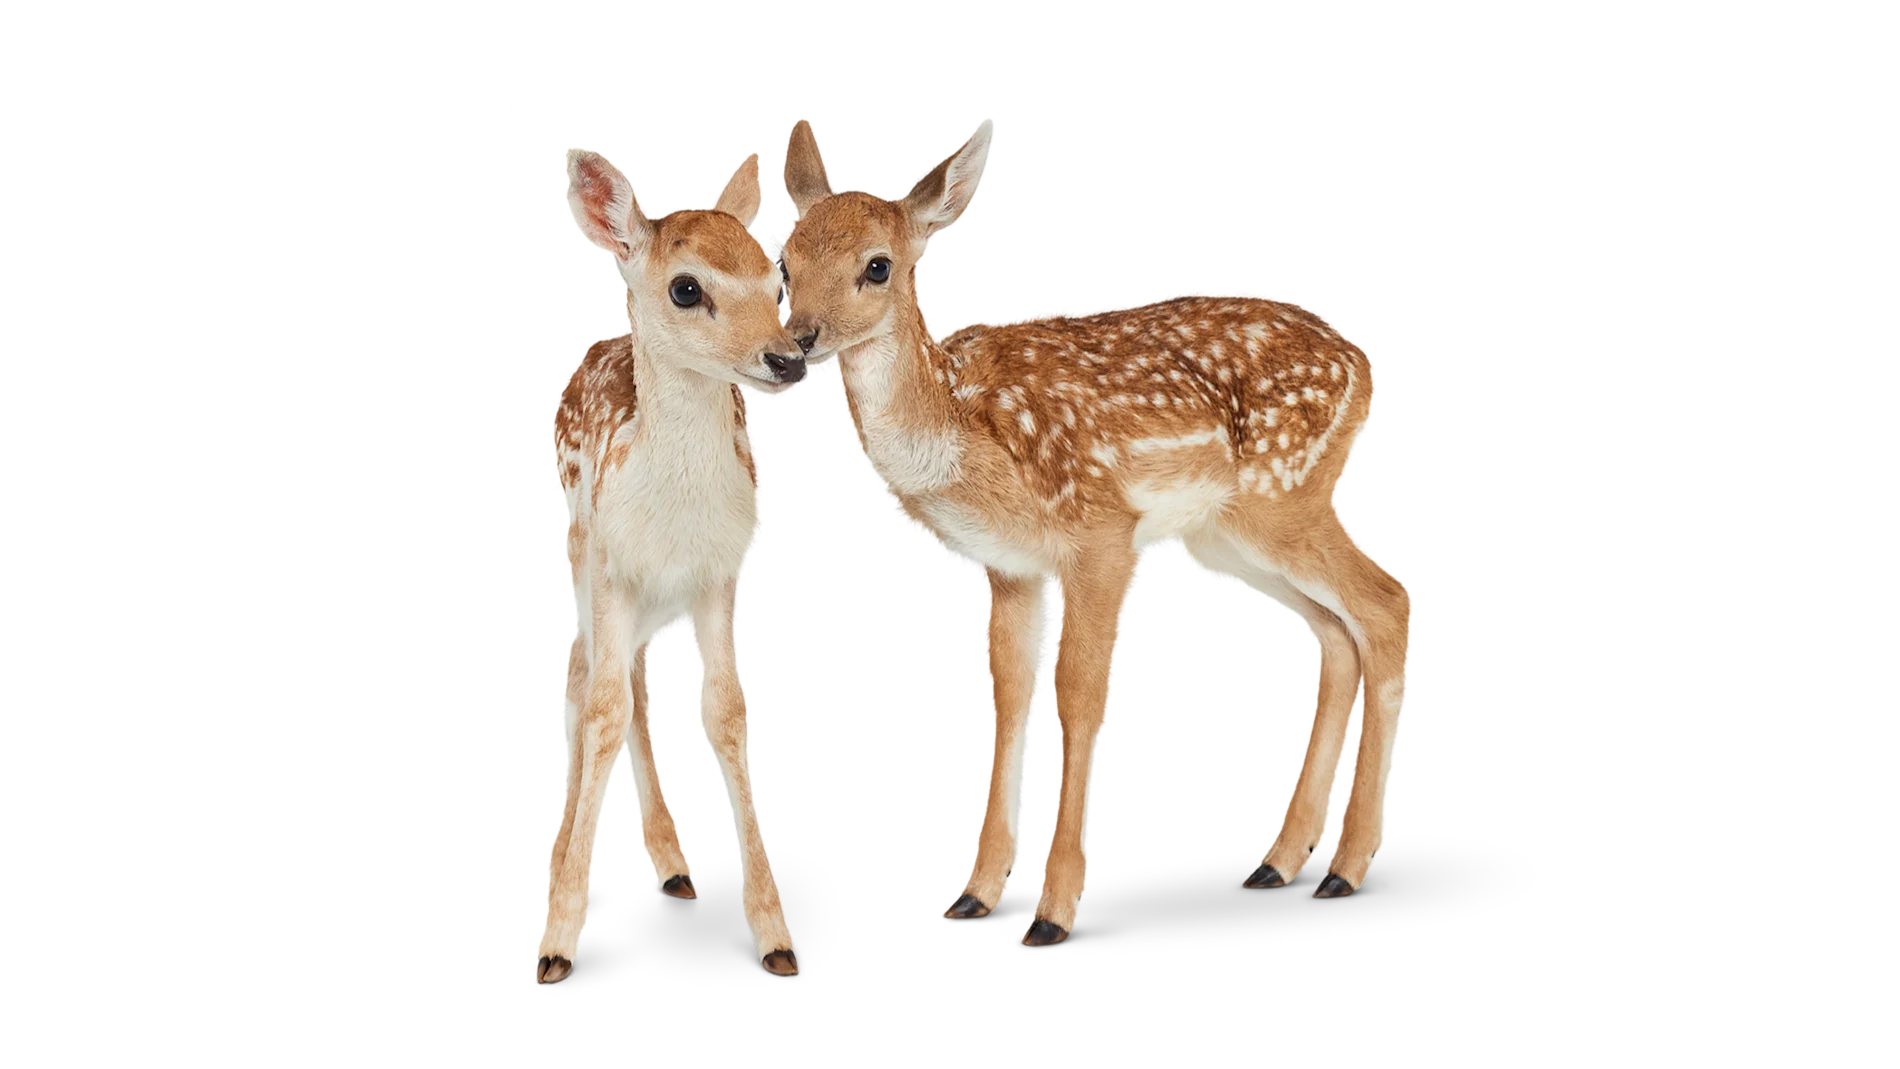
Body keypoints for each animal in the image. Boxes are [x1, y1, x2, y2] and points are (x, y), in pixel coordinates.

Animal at [540, 146, 806, 982]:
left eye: (776, 278)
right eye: (687, 287)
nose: (787, 357)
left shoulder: (723, 573)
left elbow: (723, 713)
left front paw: (775, 931)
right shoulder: (612, 564)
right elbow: (600, 708)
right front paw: (557, 937)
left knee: (625, 674)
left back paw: (672, 861)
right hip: (581, 549)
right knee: (589, 673)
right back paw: (575, 856)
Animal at [778, 117, 1412, 947]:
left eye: (877, 267)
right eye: (782, 256)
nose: (797, 339)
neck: (966, 428)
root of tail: (1363, 365)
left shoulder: (1103, 533)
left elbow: (1080, 694)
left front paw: (1052, 910)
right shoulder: (1011, 564)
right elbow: (1012, 692)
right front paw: (977, 891)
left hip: (1286, 497)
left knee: (1386, 602)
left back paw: (1346, 865)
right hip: (1229, 532)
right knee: (1335, 630)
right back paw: (1283, 860)